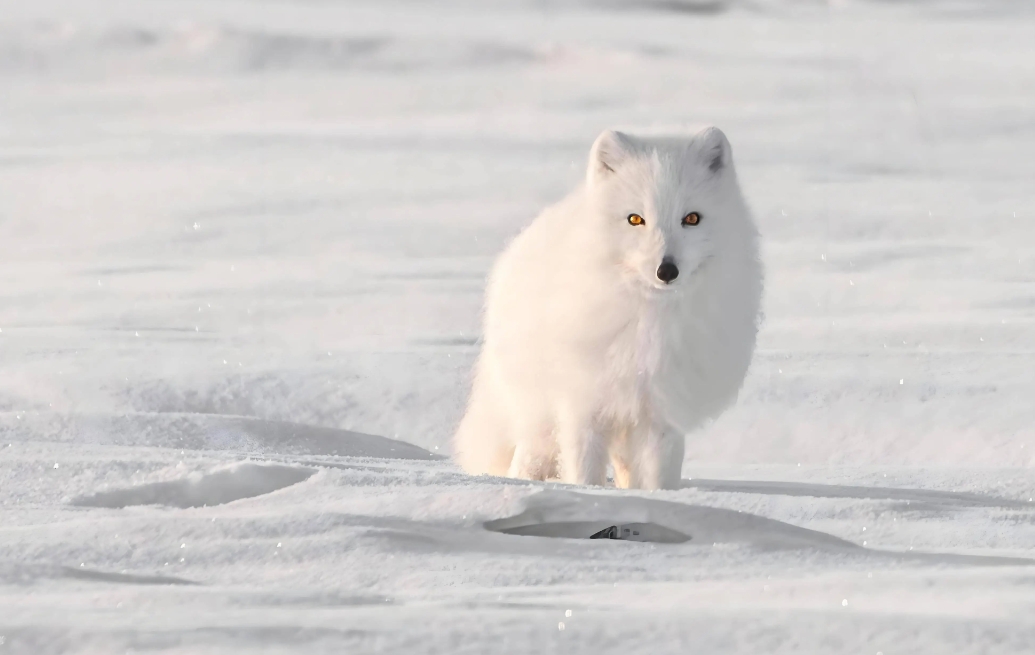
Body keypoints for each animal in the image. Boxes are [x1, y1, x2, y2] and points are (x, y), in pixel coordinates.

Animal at [457, 127, 765, 488]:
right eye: (635, 219)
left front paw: (660, 497)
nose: (666, 270)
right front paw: (588, 494)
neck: (649, 325)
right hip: (540, 415)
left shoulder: (662, 412)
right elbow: (584, 471)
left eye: (692, 219)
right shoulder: (582, 406)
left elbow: (660, 476)